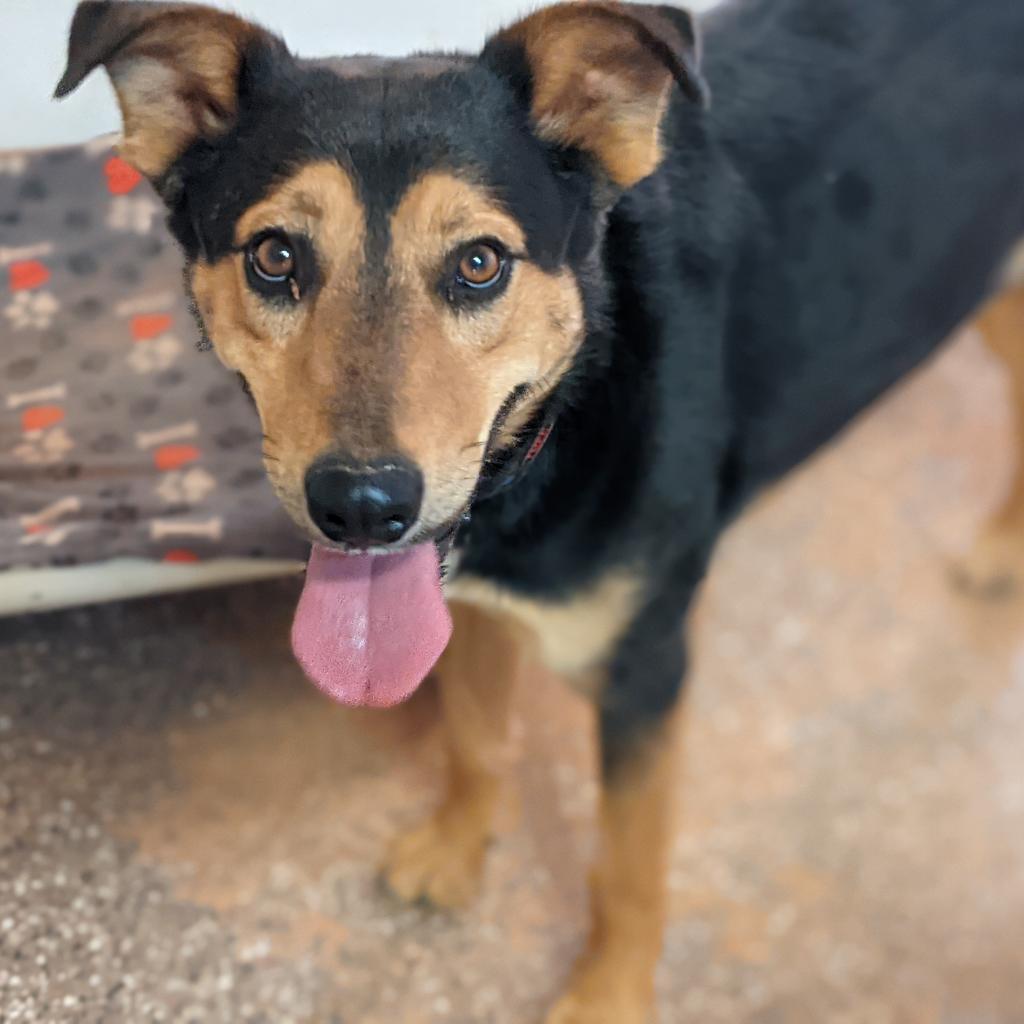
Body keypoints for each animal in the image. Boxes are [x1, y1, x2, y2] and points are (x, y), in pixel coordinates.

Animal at [58, 0, 1024, 1019]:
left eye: (480, 263)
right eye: (275, 256)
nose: (362, 508)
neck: (573, 405)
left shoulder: (646, 670)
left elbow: (628, 867)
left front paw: (608, 995)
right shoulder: (474, 609)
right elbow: (478, 741)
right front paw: (456, 850)